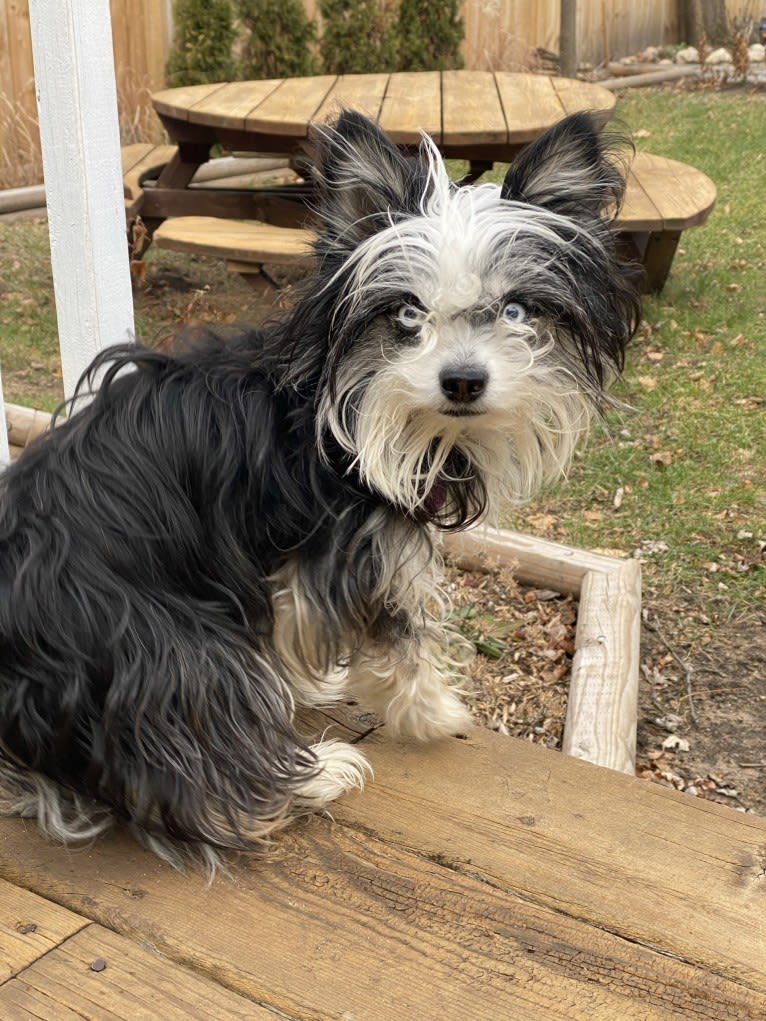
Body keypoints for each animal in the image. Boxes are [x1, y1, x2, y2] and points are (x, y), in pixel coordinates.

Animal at [0, 111, 641, 865]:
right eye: (407, 313)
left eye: (515, 310)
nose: (462, 381)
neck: (338, 402)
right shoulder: (353, 547)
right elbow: (397, 637)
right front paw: (432, 711)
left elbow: (293, 626)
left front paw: (309, 680)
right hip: (167, 647)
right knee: (195, 770)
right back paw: (316, 776)